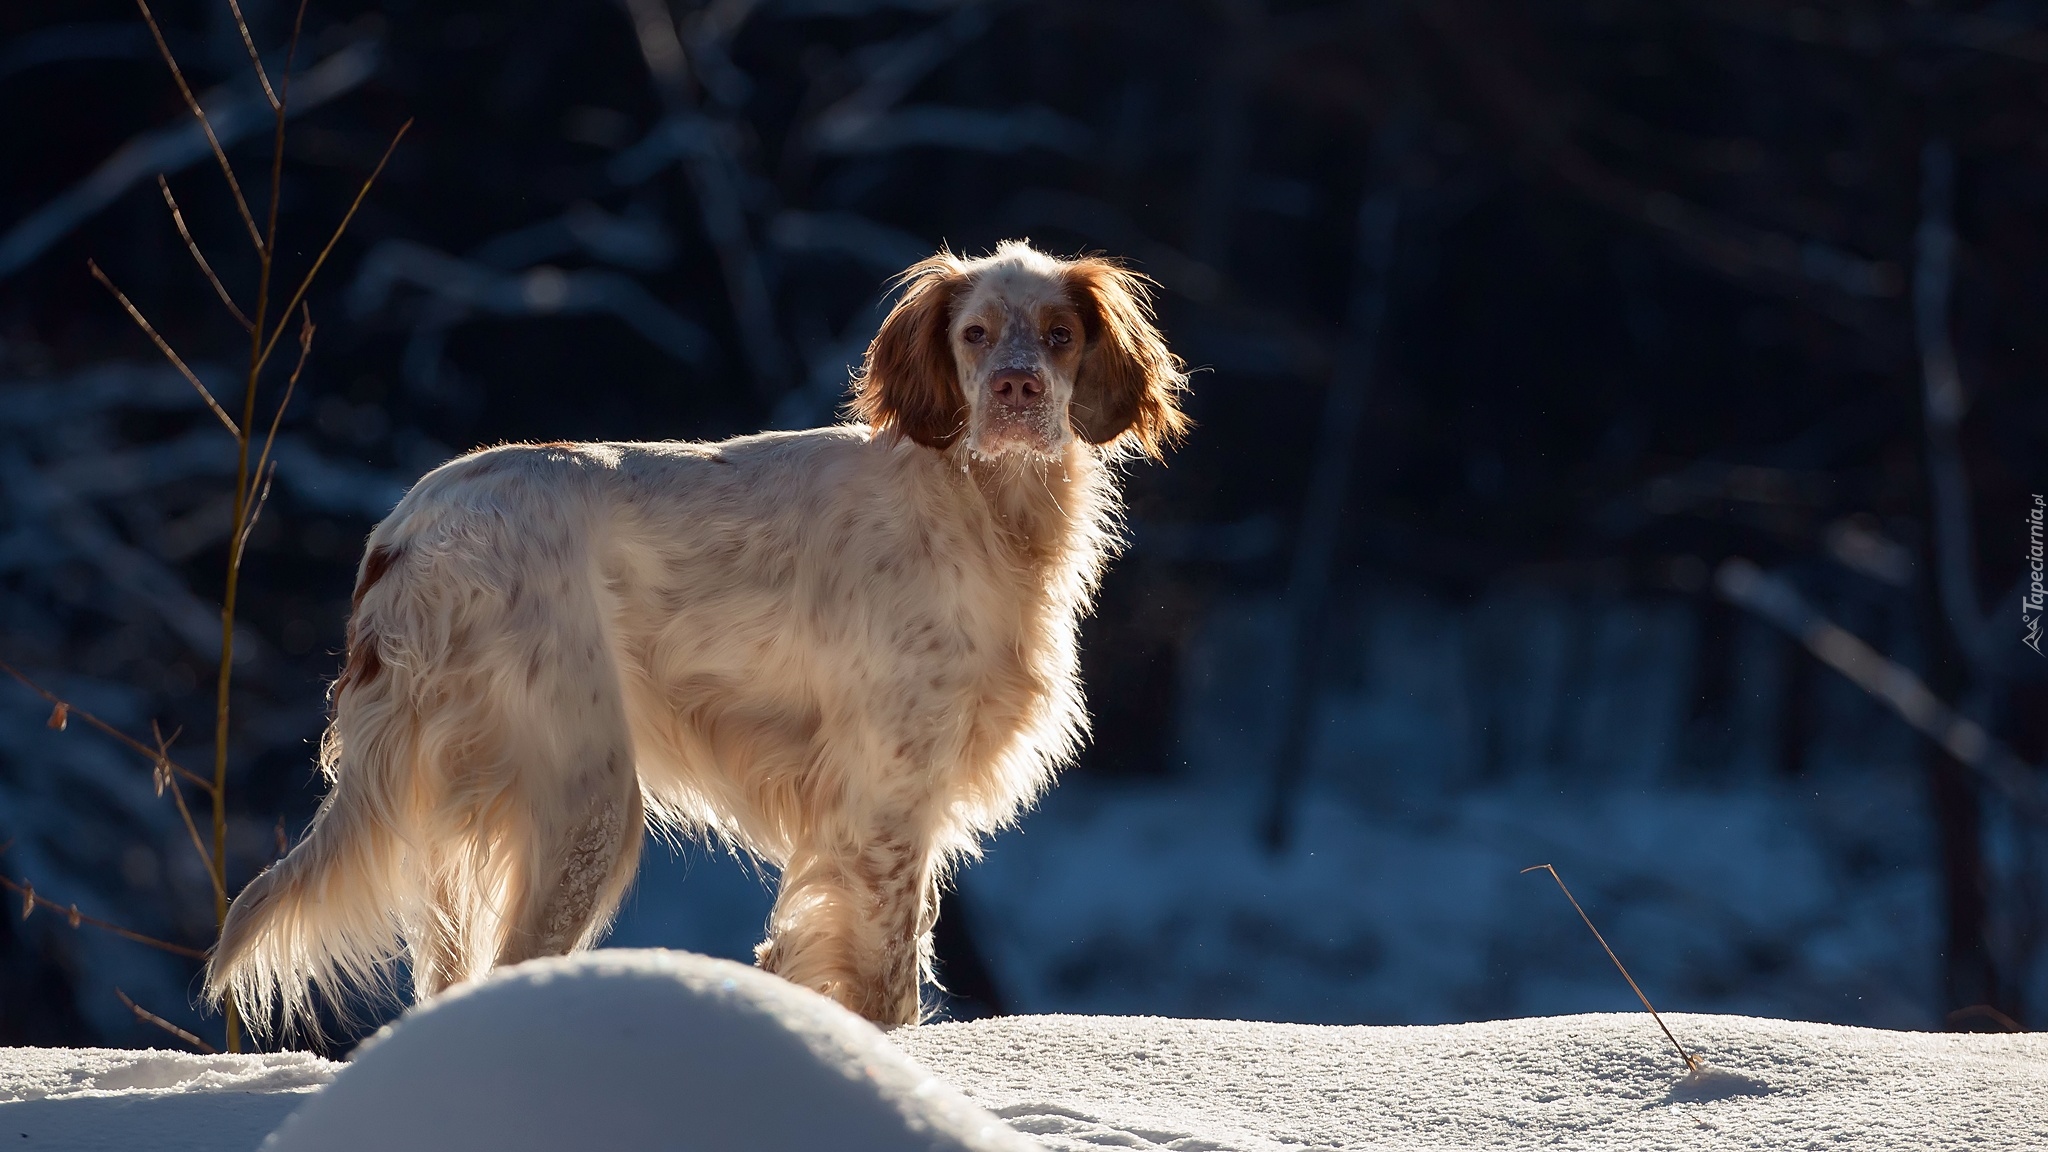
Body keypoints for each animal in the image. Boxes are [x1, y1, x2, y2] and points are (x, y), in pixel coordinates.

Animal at [199, 237, 1196, 1024]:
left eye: (1059, 334)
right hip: (589, 798)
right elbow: (887, 986)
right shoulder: (883, 801)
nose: (1018, 389)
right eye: (975, 334)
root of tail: (405, 531)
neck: (983, 505)